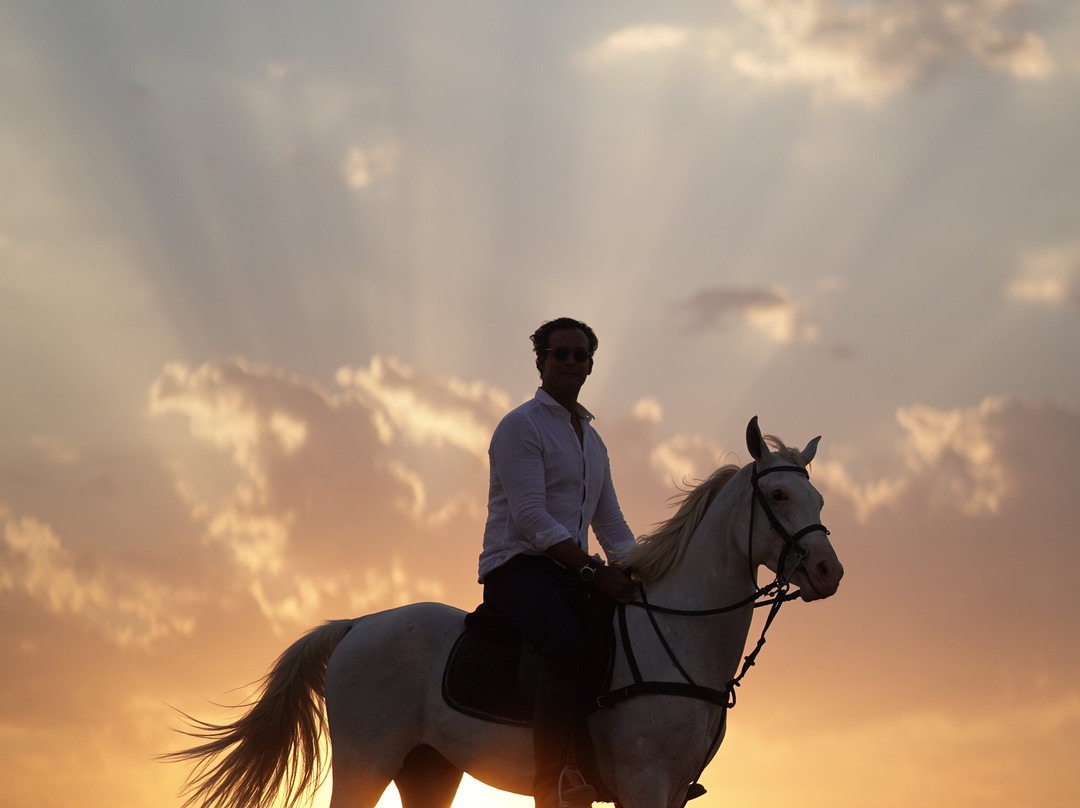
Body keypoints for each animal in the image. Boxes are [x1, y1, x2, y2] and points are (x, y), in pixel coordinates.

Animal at [165, 417, 844, 808]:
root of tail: (358, 627)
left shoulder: (674, 792)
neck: (676, 635)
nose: (827, 572)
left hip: (430, 771)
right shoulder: (644, 783)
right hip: (365, 763)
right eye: (778, 494)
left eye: (818, 497)